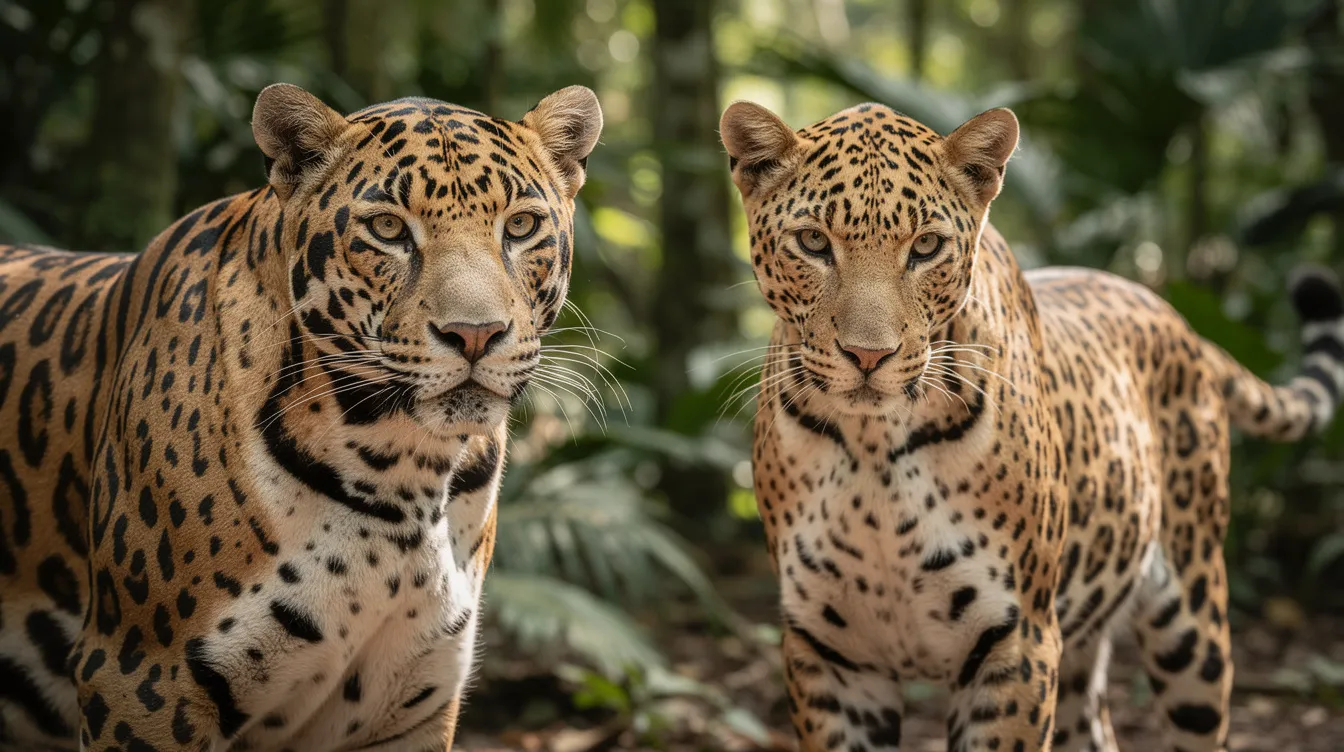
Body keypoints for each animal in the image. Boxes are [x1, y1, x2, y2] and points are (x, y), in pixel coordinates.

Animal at [0, 81, 602, 751]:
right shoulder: (139, 679)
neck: (404, 470)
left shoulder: (412, 700)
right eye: (388, 228)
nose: (475, 335)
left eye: (520, 225)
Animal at [719, 99, 1344, 752]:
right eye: (813, 242)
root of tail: (1184, 324)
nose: (869, 356)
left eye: (926, 247)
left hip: (1193, 625)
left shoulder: (1016, 642)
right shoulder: (830, 654)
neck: (874, 450)